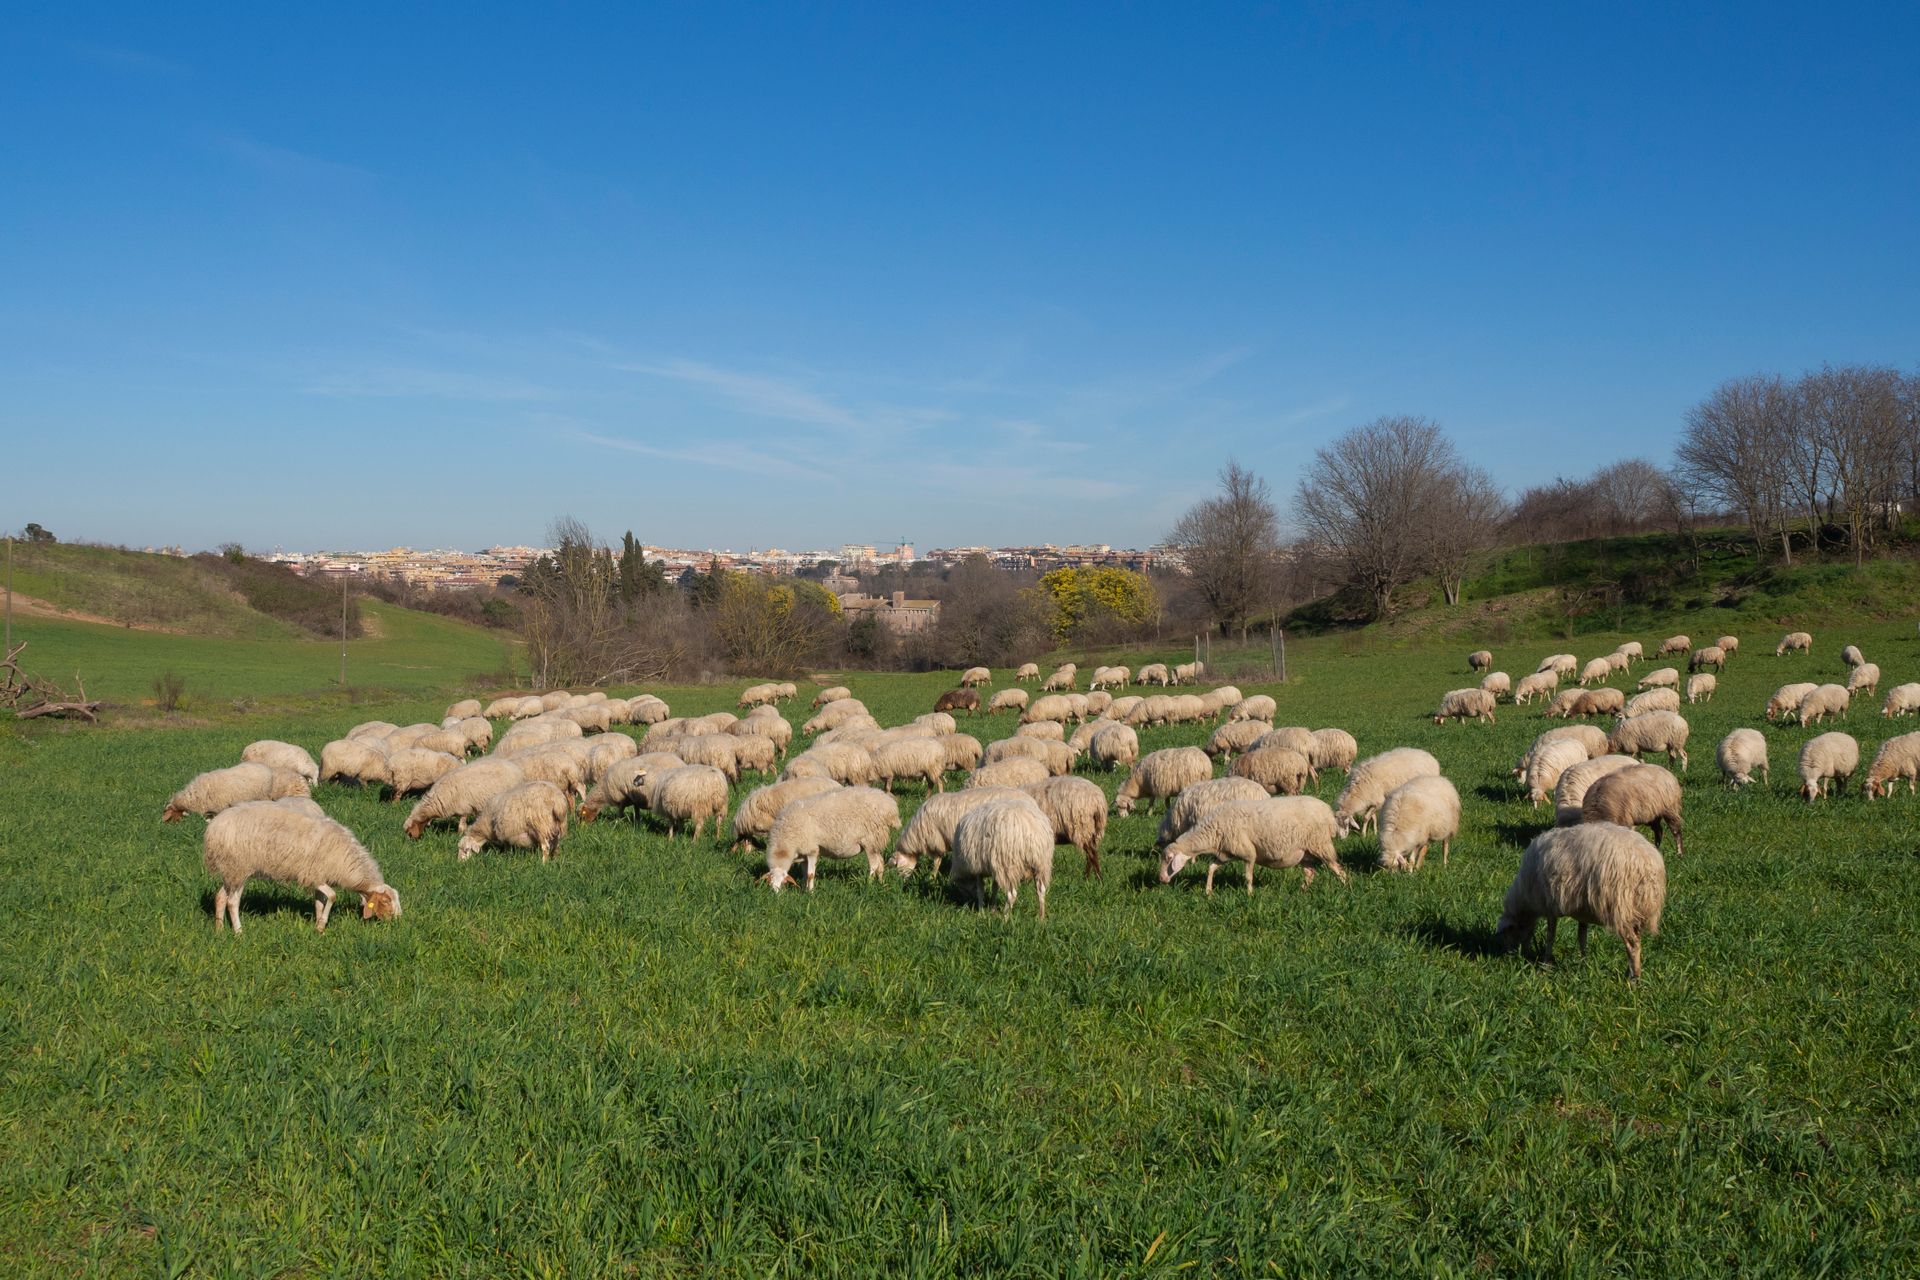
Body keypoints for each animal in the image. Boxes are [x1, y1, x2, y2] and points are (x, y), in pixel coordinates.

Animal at [202, 802, 400, 933]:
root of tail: (214, 825)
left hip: (230, 870)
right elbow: (332, 896)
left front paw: (319, 927)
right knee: (232, 901)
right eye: (385, 901)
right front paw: (321, 924)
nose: (397, 921)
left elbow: (321, 901)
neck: (345, 861)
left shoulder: (319, 877)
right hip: (239, 867)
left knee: (220, 896)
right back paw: (238, 932)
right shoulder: (312, 874)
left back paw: (219, 928)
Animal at [763, 786, 902, 890]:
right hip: (876, 842)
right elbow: (804, 873)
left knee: (874, 865)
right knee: (880, 863)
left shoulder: (812, 849)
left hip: (870, 841)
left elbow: (810, 874)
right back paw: (881, 882)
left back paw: (869, 883)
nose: (775, 893)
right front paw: (804, 887)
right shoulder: (803, 853)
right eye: (769, 881)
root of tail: (890, 807)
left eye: (783, 881)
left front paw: (810, 892)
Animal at [1158, 796, 1347, 895]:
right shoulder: (1227, 853)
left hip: (1320, 844)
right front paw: (1208, 891)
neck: (1214, 830)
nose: (1161, 879)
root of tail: (1328, 813)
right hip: (1305, 852)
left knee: (1338, 869)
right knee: (1310, 873)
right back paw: (1300, 892)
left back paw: (1347, 888)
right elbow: (1211, 867)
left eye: (1169, 858)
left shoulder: (1248, 853)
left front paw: (1249, 895)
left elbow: (1248, 876)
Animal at [1495, 823, 1665, 981]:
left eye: (1507, 934)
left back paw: (1634, 978)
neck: (1525, 900)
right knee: (1637, 940)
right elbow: (1582, 938)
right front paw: (1585, 964)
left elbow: (1551, 936)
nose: (1508, 956)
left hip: (1620, 908)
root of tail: (1648, 862)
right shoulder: (1583, 913)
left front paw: (1546, 964)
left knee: (1633, 945)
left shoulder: (1549, 906)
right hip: (1635, 910)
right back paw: (1628, 971)